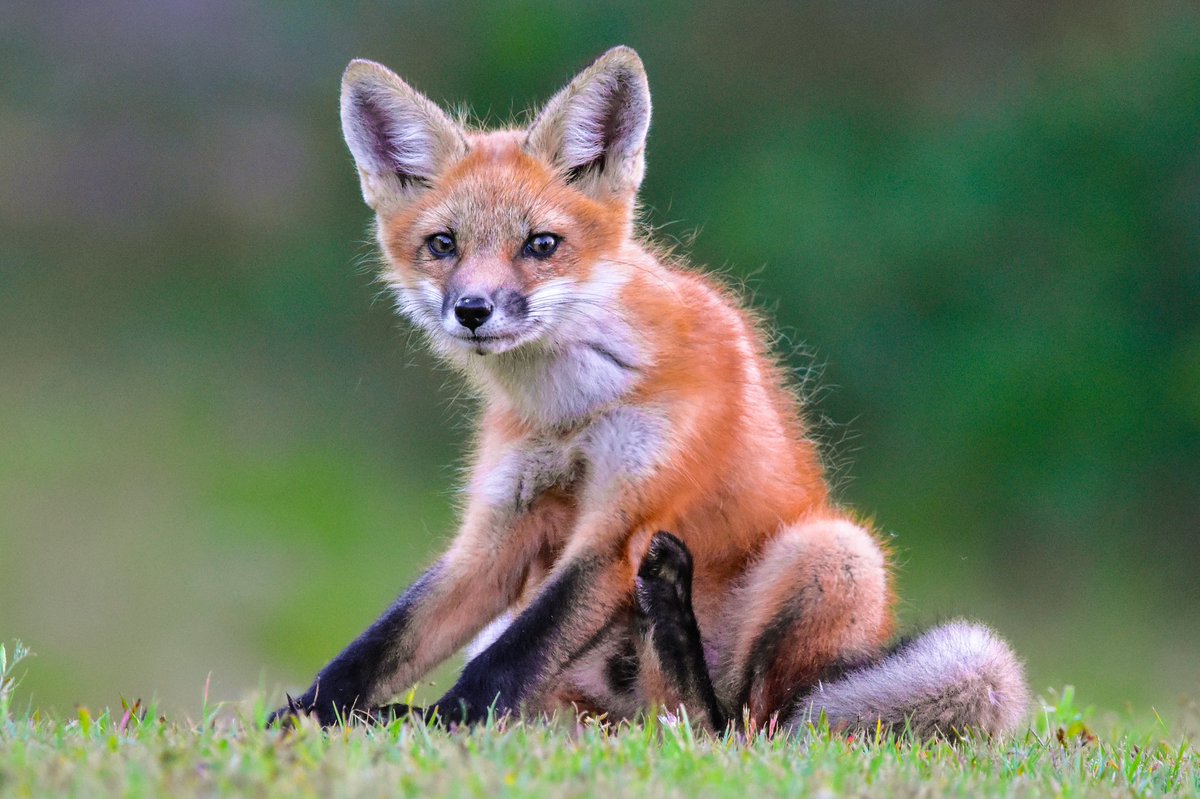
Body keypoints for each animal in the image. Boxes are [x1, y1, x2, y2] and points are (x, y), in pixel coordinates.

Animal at [270, 46, 1029, 738]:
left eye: (542, 244)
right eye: (443, 244)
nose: (473, 310)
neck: (573, 408)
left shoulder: (624, 521)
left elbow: (508, 658)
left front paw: (447, 722)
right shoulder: (497, 531)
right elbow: (383, 645)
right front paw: (303, 718)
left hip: (837, 553)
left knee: (728, 723)